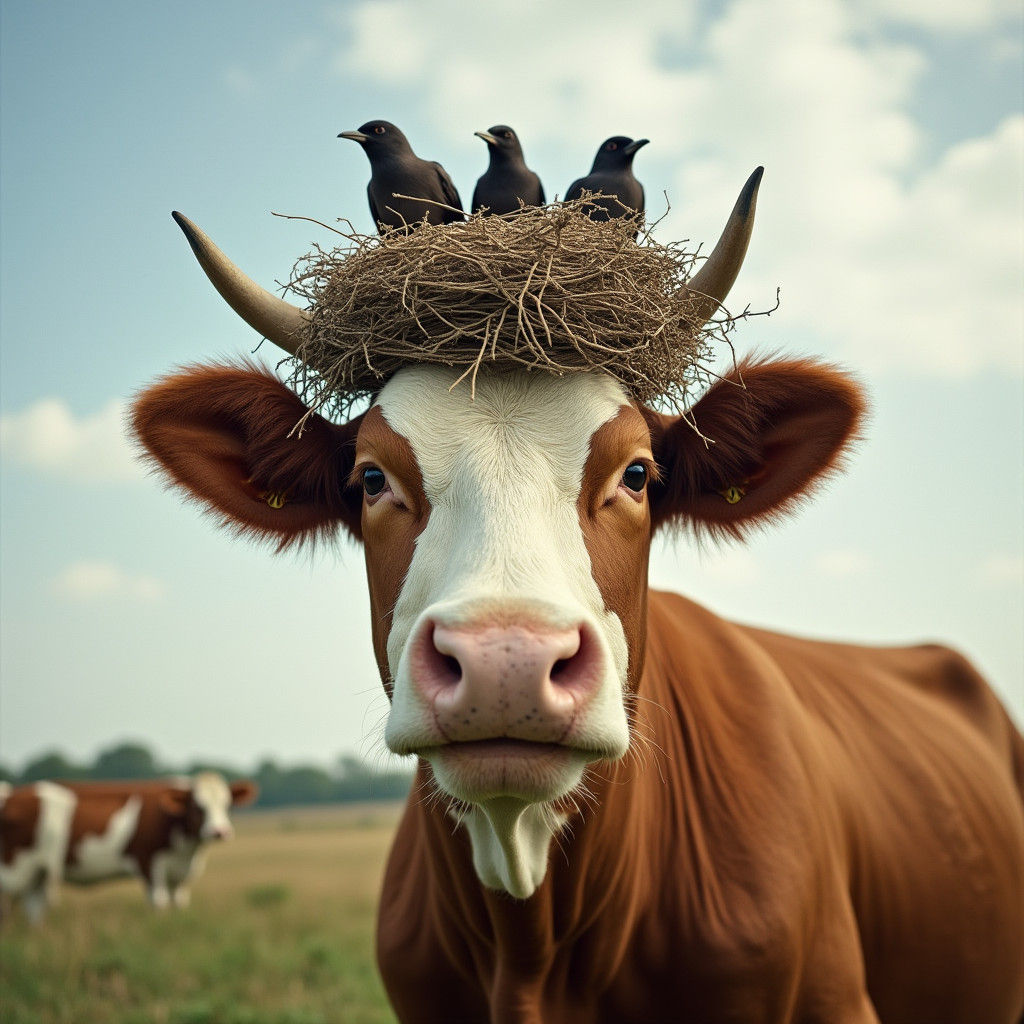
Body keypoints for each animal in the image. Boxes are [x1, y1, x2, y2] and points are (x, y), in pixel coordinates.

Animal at [0, 773, 257, 920]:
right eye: (197, 807)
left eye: (227, 804)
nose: (219, 831)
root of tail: (11, 794)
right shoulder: (148, 862)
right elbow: (159, 903)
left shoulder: (180, 875)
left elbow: (178, 904)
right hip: (14, 866)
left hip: (38, 872)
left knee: (34, 908)